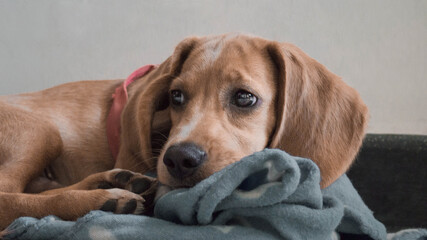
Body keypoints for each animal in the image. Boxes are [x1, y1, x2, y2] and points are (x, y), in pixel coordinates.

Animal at [0, 33, 368, 229]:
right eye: (176, 95)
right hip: (40, 131)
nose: (178, 159)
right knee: (9, 197)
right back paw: (103, 199)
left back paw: (113, 183)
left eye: (245, 98)